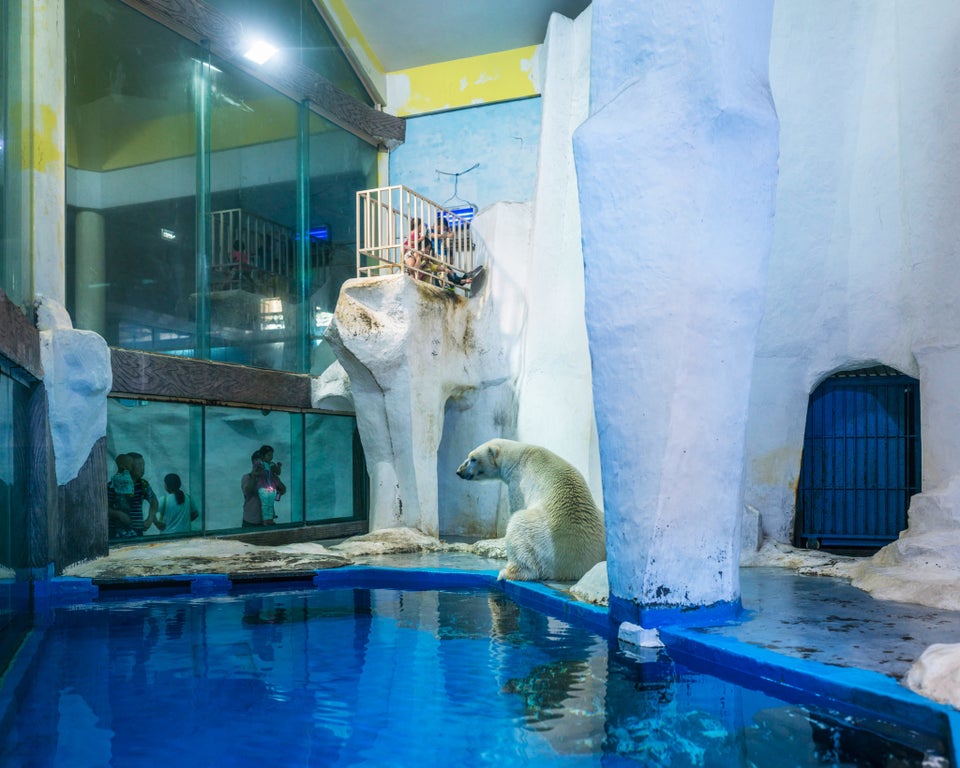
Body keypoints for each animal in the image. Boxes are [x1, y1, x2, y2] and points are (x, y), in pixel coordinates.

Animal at [458, 438, 608, 584]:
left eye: (473, 459)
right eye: (469, 457)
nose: (459, 471)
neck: (519, 456)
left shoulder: (518, 483)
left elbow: (517, 507)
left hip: (542, 537)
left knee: (519, 529)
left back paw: (508, 572)